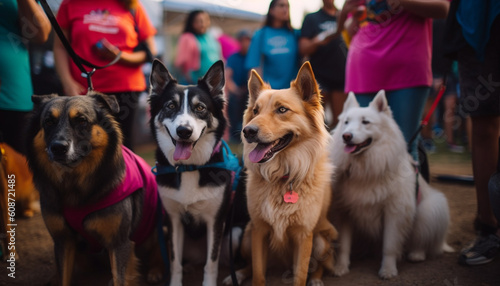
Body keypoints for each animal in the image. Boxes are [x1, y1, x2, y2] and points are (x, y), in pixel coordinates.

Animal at [26, 92, 164, 284]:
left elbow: (120, 278)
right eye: (48, 122)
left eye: (81, 120)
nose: (58, 148)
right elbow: (63, 278)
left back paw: (155, 271)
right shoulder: (63, 241)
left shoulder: (119, 243)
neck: (75, 184)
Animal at [226, 62, 336, 286]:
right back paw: (237, 275)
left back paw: (316, 280)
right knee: (250, 265)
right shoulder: (258, 230)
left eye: (282, 109)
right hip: (245, 235)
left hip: (321, 241)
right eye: (256, 110)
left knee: (318, 266)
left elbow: (300, 275)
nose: (247, 131)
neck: (282, 175)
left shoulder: (304, 235)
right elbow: (258, 273)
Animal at [332, 90, 454, 278]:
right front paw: (341, 267)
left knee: (421, 240)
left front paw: (388, 270)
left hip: (430, 209)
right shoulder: (345, 212)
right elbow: (344, 244)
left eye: (365, 122)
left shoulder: (394, 212)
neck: (366, 169)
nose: (346, 136)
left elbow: (389, 246)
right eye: (346, 122)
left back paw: (416, 254)